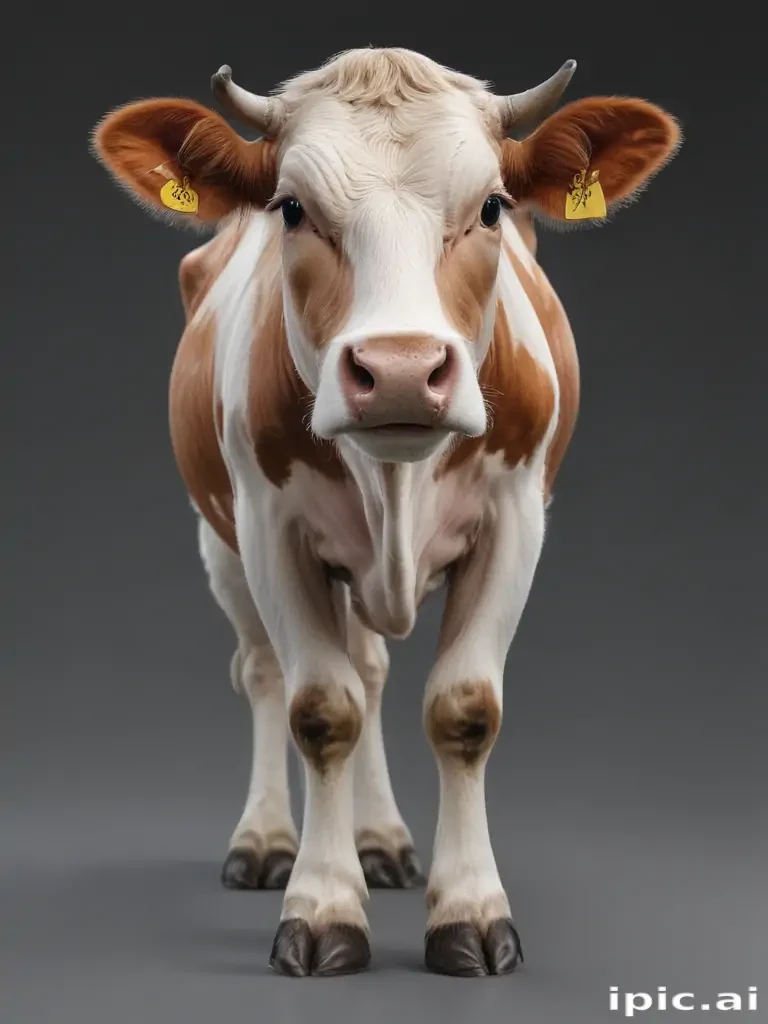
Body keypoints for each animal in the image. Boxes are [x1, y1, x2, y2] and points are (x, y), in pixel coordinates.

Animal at [91, 47, 681, 978]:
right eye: (293, 208)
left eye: (492, 206)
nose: (402, 369)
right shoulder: (268, 526)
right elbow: (318, 708)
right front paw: (323, 905)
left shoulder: (517, 519)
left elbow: (463, 708)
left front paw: (468, 909)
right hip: (220, 544)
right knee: (268, 674)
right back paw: (267, 841)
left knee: (370, 672)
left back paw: (380, 841)